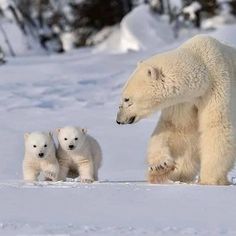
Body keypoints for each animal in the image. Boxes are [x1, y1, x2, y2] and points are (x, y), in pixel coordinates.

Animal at [116, 35, 236, 186]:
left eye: (127, 99)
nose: (119, 120)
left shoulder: (218, 86)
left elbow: (217, 127)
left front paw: (209, 179)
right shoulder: (184, 102)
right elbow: (176, 127)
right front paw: (160, 167)